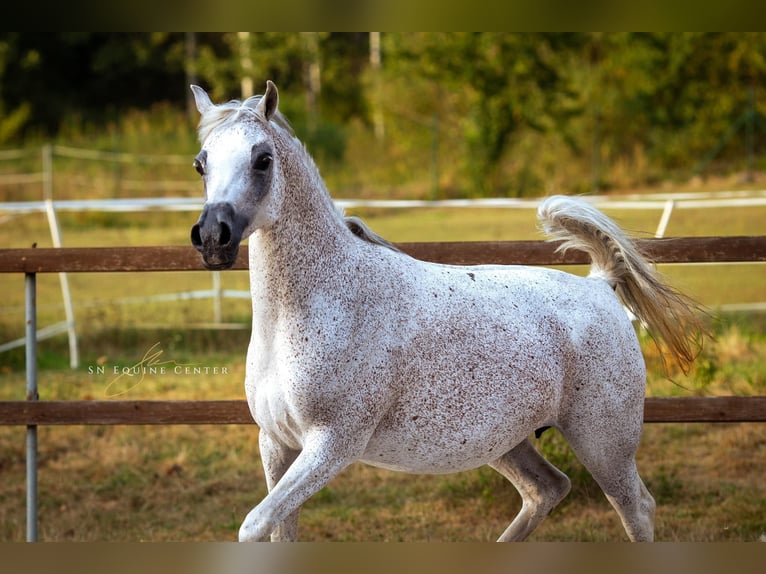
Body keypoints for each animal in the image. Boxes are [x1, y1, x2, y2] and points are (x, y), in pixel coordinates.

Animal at [189, 82, 704, 544]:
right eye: (201, 163)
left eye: (262, 159)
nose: (213, 235)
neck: (323, 303)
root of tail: (599, 286)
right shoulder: (276, 445)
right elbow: (276, 529)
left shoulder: (331, 444)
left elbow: (253, 525)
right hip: (506, 441)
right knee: (547, 490)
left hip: (604, 441)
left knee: (637, 510)